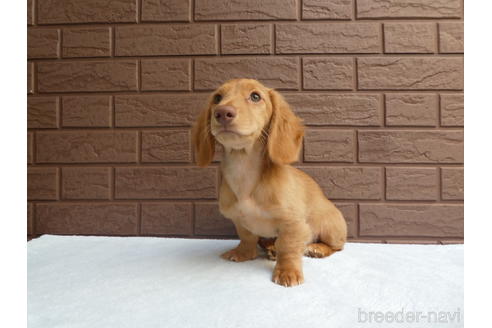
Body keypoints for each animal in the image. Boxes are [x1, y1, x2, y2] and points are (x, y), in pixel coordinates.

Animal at [191, 78, 346, 286]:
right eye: (217, 98)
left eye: (256, 96)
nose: (222, 113)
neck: (243, 170)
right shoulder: (239, 220)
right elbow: (247, 237)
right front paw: (243, 253)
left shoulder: (293, 224)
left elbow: (288, 246)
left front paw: (287, 272)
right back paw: (271, 248)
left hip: (331, 228)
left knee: (337, 246)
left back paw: (317, 249)